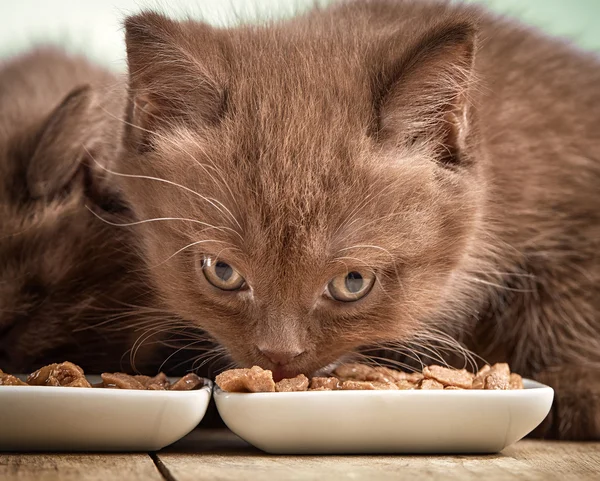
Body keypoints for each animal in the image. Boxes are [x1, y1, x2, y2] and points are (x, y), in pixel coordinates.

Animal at [118, 0, 600, 438]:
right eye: (222, 271)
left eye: (352, 282)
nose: (278, 356)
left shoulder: (576, 206)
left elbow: (575, 292)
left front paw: (578, 386)